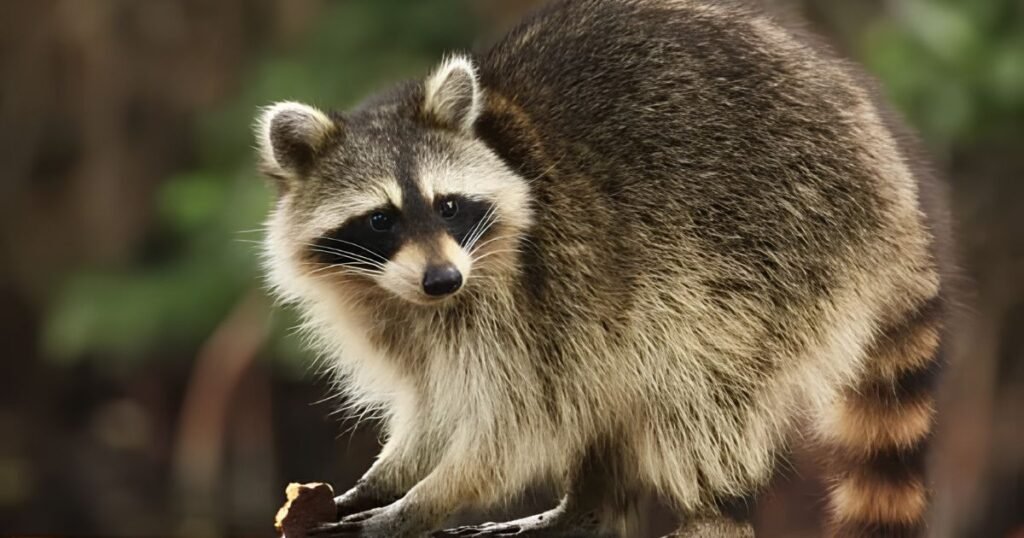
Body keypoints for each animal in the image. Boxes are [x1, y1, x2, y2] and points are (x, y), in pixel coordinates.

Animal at [256, 0, 951, 536]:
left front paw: (420, 503)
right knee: (613, 386)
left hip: (778, 246)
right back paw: (588, 507)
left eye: (448, 205)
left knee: (697, 385)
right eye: (381, 220)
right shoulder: (404, 316)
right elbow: (435, 404)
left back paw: (710, 507)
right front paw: (387, 477)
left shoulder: (526, 293)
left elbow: (514, 423)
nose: (443, 280)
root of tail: (894, 183)